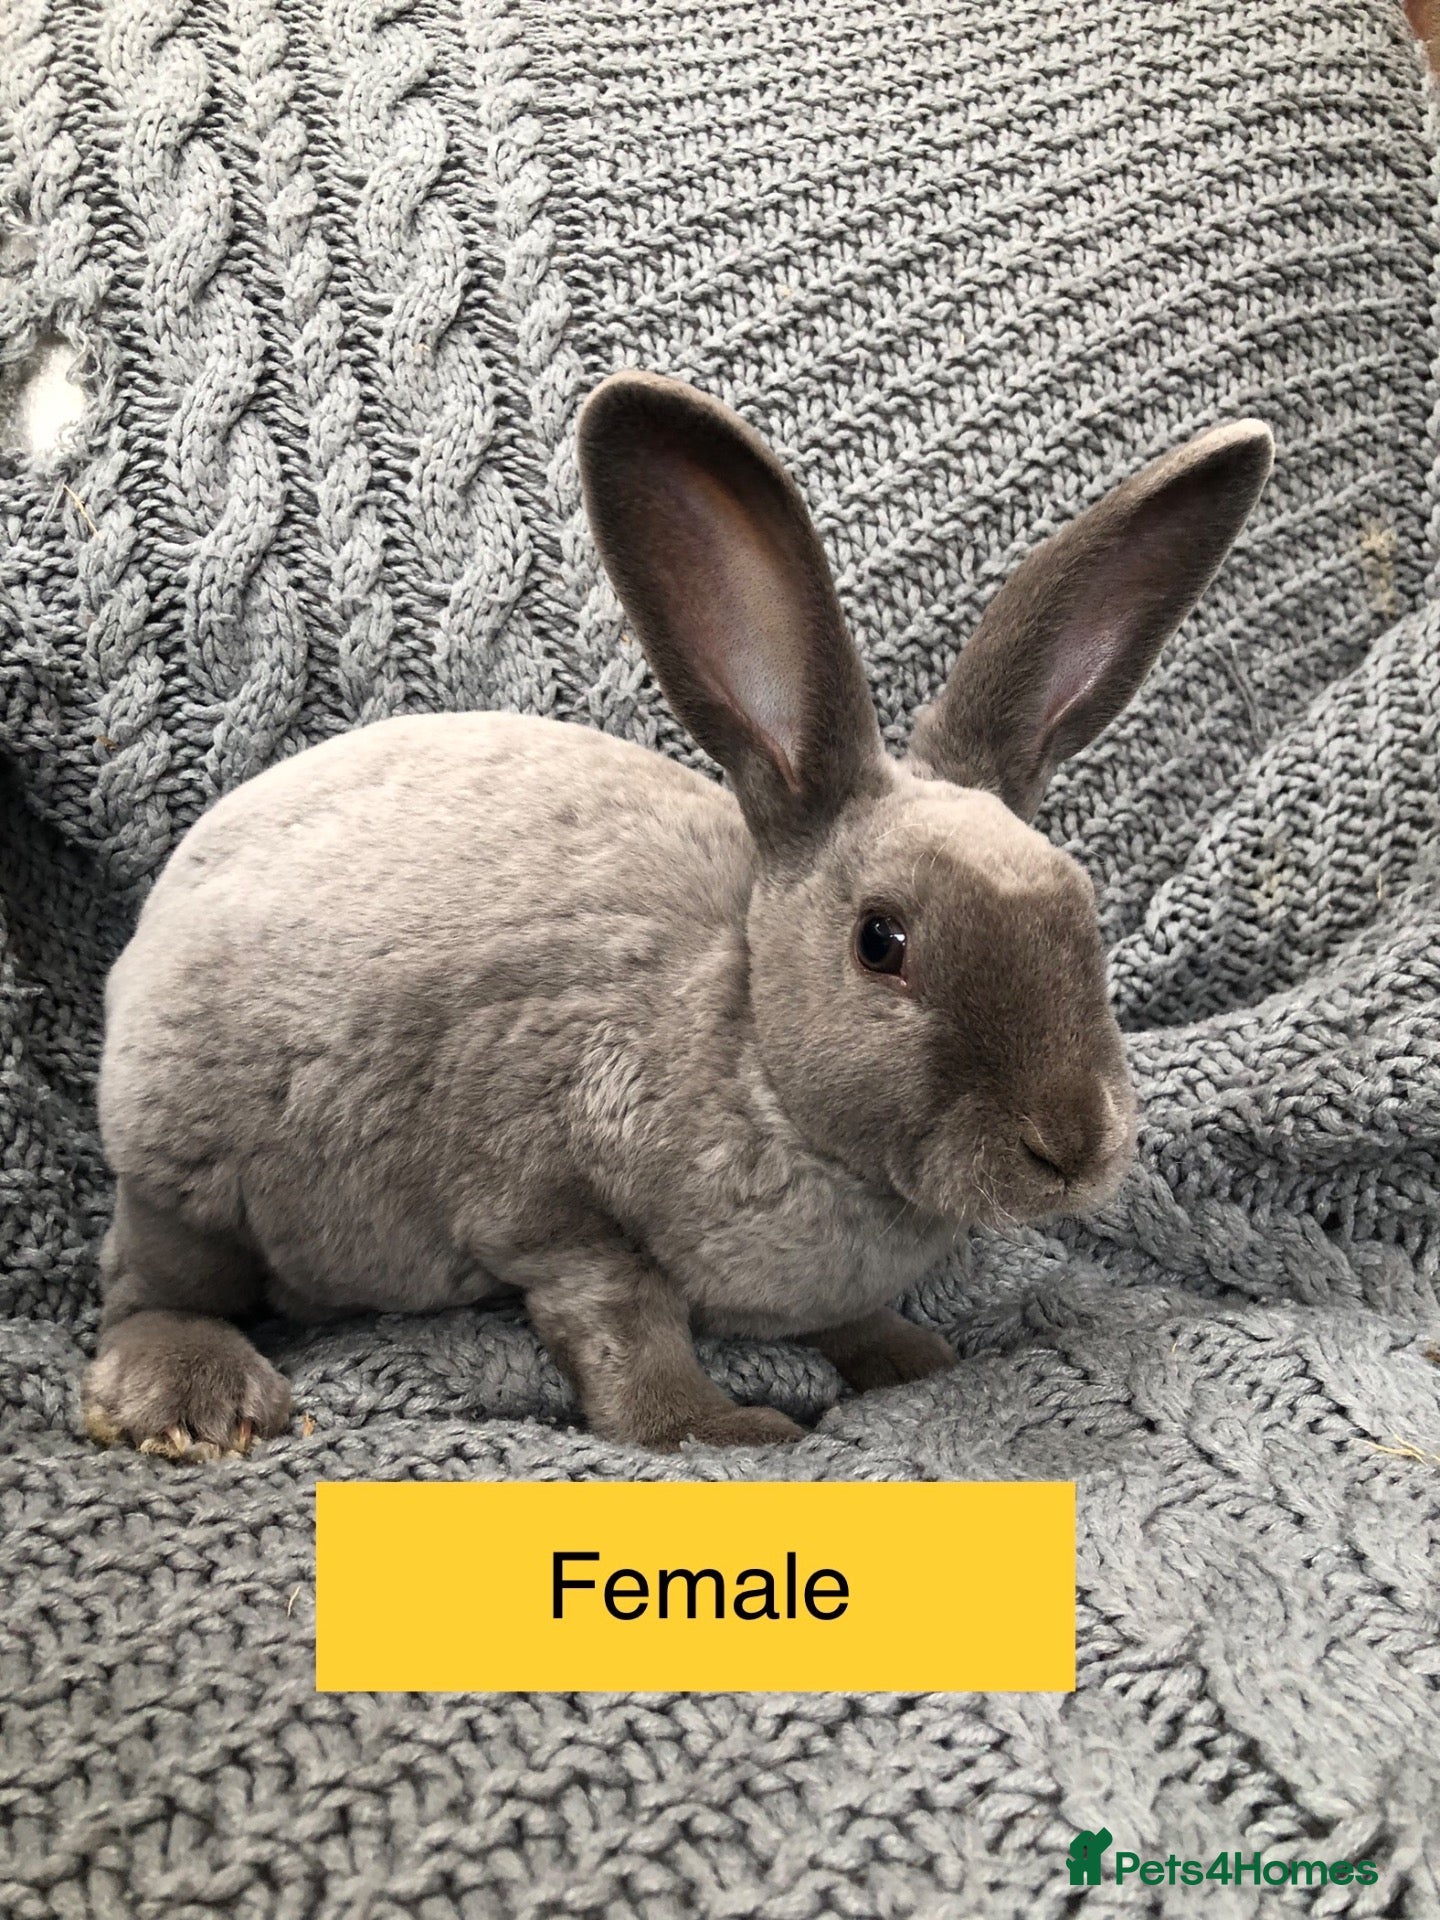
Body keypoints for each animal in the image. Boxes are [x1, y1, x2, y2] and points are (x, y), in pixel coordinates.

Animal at [82, 372, 1272, 1459]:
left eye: (1085, 917)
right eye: (881, 943)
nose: (1071, 1145)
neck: (758, 1059)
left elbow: (854, 1320)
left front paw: (913, 1360)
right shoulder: (552, 1209)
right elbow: (626, 1326)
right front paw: (719, 1428)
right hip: (194, 1181)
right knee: (147, 1290)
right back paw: (198, 1401)